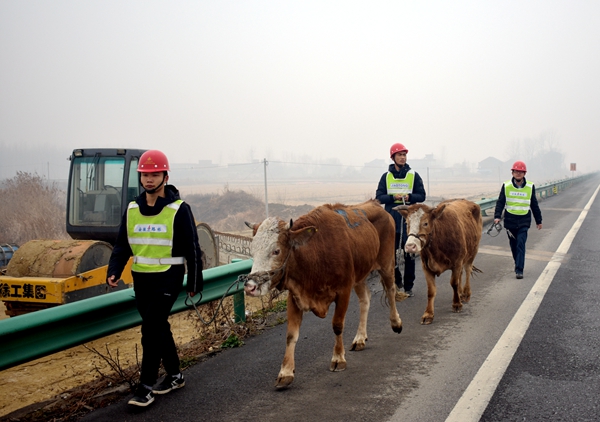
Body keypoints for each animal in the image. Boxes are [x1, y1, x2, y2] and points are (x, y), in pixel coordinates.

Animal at [243, 200, 404, 390]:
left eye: (276, 251)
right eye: (252, 251)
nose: (250, 286)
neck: (315, 255)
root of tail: (376, 204)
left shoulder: (343, 291)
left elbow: (337, 325)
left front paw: (338, 358)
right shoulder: (295, 296)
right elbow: (291, 335)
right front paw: (285, 372)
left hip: (386, 263)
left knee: (391, 290)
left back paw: (396, 323)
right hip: (360, 274)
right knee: (365, 299)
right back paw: (360, 338)